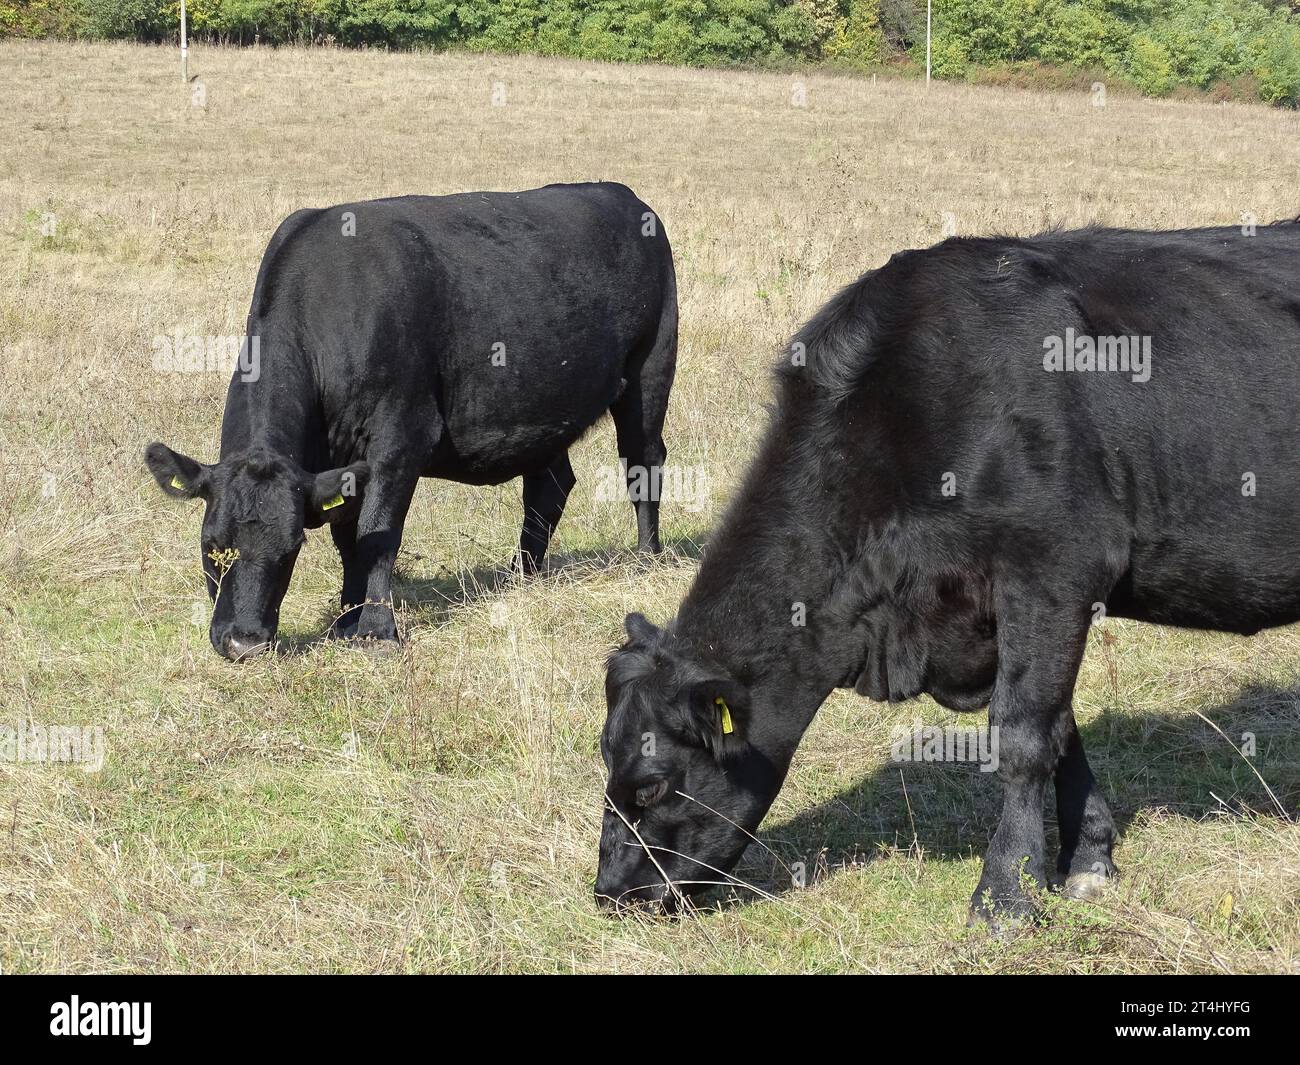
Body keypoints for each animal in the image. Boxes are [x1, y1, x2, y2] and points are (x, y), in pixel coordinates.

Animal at [147, 185, 681, 665]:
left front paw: (377, 630)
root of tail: (626, 197)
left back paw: (646, 559)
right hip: (546, 409)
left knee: (643, 463)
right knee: (549, 487)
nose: (245, 643)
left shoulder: (402, 437)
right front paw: (346, 621)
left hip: (650, 371)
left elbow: (378, 533)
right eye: (211, 545)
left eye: (292, 547)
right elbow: (349, 537)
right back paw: (521, 576)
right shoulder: (339, 464)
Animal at [595, 222, 1300, 925]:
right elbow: (1060, 729)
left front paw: (1005, 893)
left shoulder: (1052, 575)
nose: (611, 892)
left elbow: (1022, 735)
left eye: (651, 786)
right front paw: (1088, 859)